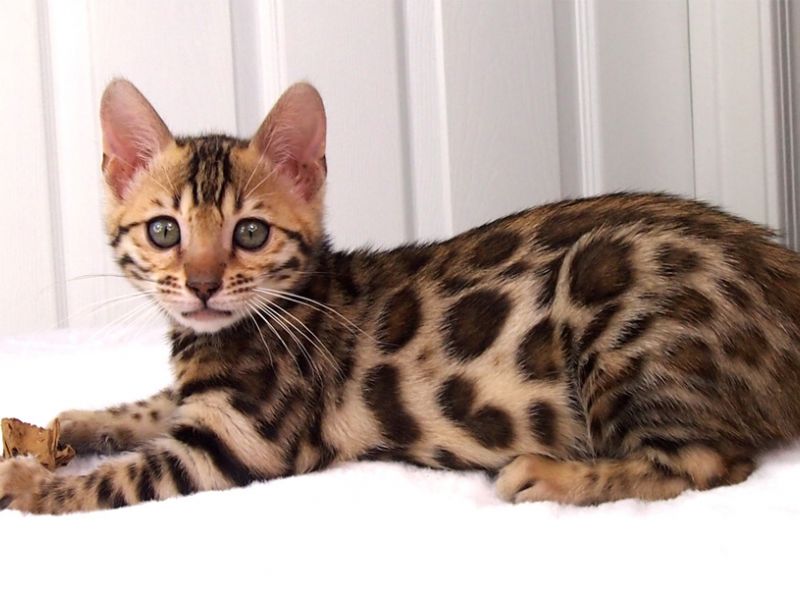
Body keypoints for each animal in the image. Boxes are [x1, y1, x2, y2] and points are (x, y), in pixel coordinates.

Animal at [2, 79, 800, 514]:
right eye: (165, 230)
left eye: (250, 233)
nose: (200, 285)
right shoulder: (199, 397)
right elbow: (151, 405)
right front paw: (77, 422)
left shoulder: (240, 443)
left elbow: (115, 481)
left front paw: (28, 486)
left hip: (613, 287)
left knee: (711, 463)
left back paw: (548, 475)